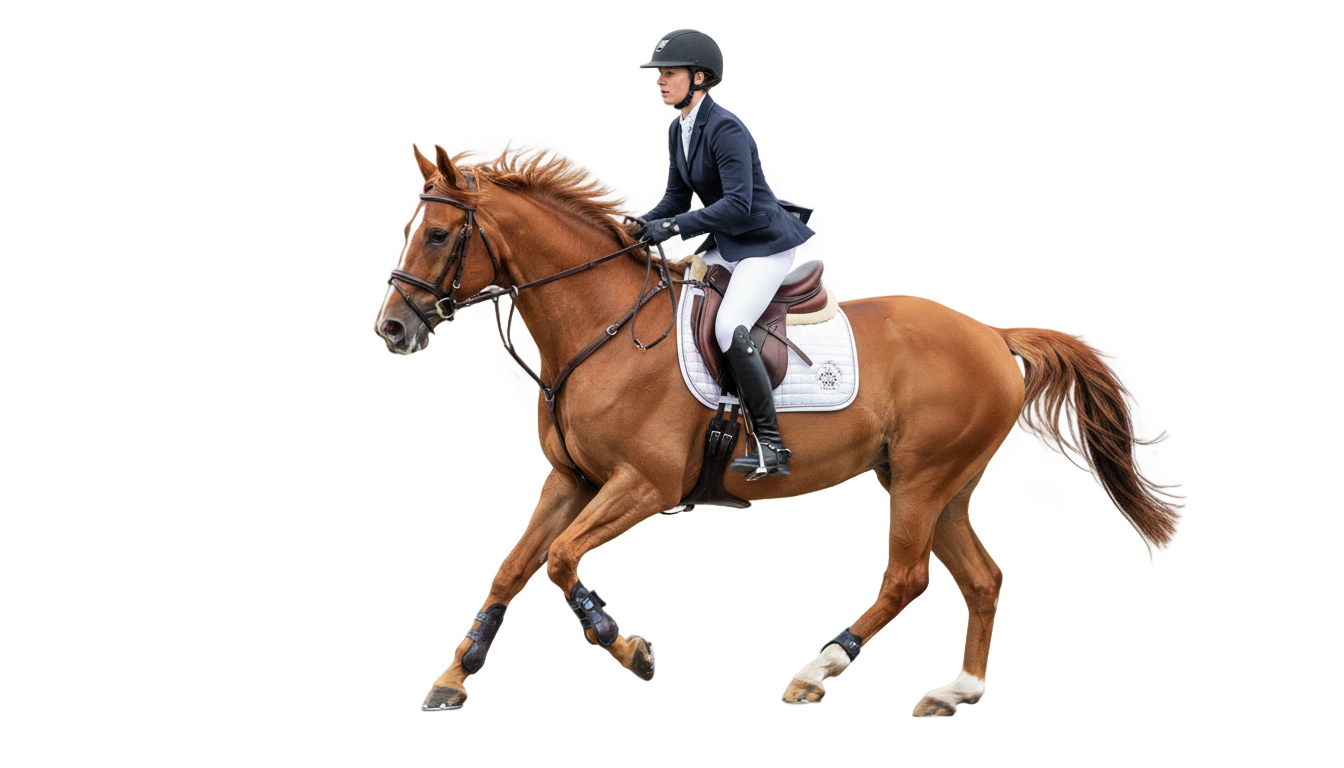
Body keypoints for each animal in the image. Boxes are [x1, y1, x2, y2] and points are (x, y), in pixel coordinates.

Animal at [372, 144, 1177, 716]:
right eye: (409, 230)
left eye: (438, 235)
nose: (391, 327)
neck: (599, 330)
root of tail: (994, 335)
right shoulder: (569, 480)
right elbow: (512, 567)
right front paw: (456, 676)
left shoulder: (643, 484)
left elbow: (563, 560)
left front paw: (626, 646)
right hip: (941, 481)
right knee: (980, 579)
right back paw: (960, 694)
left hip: (923, 478)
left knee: (908, 578)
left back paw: (818, 673)